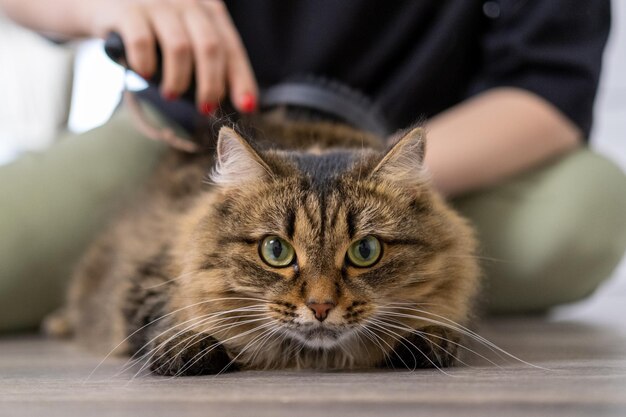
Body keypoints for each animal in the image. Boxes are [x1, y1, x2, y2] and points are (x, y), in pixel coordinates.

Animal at [45, 113, 478, 374]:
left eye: (365, 251)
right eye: (276, 251)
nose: (321, 307)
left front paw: (428, 338)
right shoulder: (148, 279)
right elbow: (170, 321)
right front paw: (185, 345)